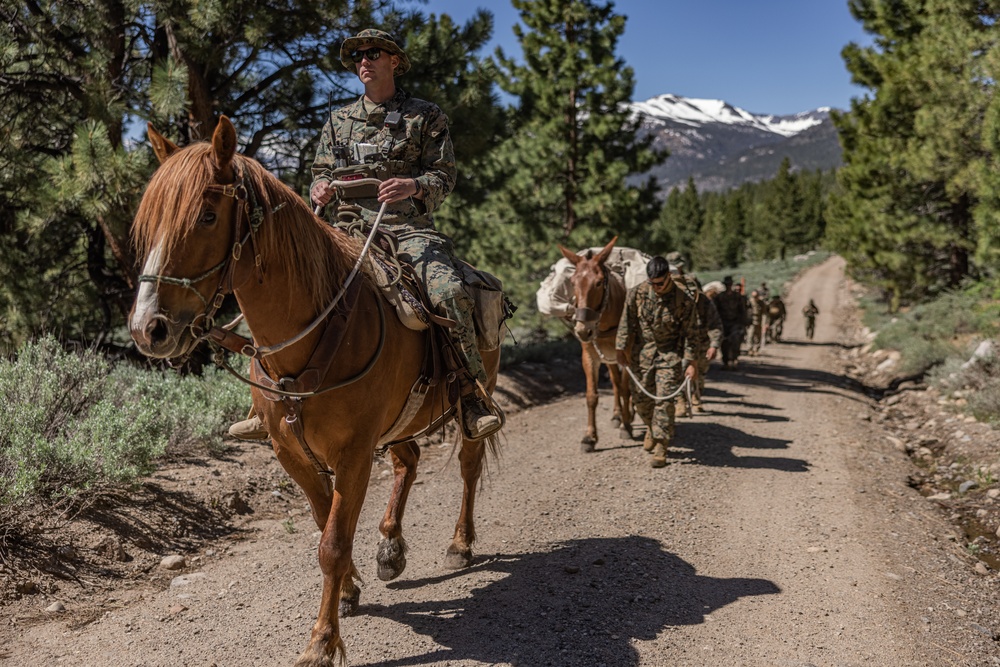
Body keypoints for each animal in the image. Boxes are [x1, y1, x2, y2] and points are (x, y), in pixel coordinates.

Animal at [130, 116, 504, 667]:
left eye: (206, 215)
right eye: (149, 223)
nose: (147, 329)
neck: (315, 331)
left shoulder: (353, 454)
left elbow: (332, 542)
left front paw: (321, 643)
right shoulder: (292, 452)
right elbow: (324, 519)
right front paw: (350, 588)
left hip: (473, 394)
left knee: (468, 464)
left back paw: (460, 544)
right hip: (398, 422)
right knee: (408, 461)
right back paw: (390, 548)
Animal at [556, 237, 632, 452]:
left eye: (598, 283)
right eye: (573, 282)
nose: (583, 330)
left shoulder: (628, 355)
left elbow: (627, 389)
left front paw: (626, 425)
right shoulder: (590, 357)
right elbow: (592, 396)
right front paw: (589, 437)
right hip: (609, 358)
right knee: (615, 382)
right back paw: (617, 415)